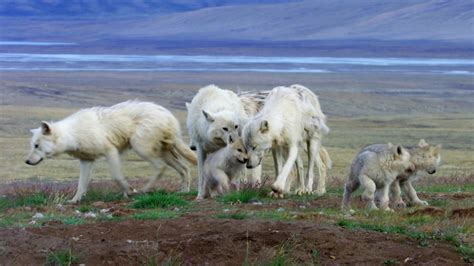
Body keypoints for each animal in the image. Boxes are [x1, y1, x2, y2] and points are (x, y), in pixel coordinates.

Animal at [25, 101, 196, 203]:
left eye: (36, 145)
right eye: (32, 145)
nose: (26, 161)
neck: (73, 135)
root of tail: (169, 115)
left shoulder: (111, 151)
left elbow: (117, 176)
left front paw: (129, 191)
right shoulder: (86, 161)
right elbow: (81, 184)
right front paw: (74, 200)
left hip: (141, 148)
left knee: (161, 168)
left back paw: (144, 190)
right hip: (165, 154)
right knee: (184, 168)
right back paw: (183, 191)